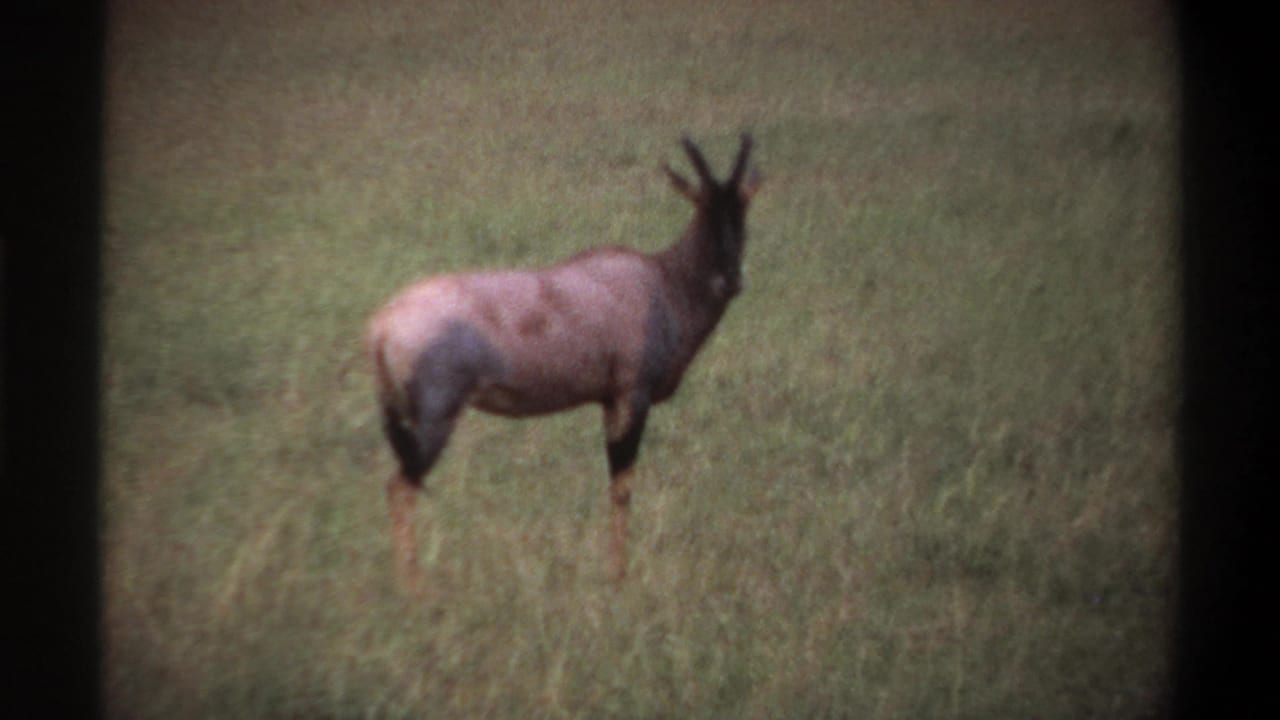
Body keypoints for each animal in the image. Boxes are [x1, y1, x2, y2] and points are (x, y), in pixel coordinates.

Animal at [367, 135, 760, 593]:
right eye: (702, 208)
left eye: (742, 210)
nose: (731, 280)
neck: (659, 281)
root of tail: (382, 325)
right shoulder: (632, 396)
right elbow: (622, 485)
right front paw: (618, 577)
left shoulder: (608, 401)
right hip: (436, 419)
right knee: (400, 486)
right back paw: (413, 590)